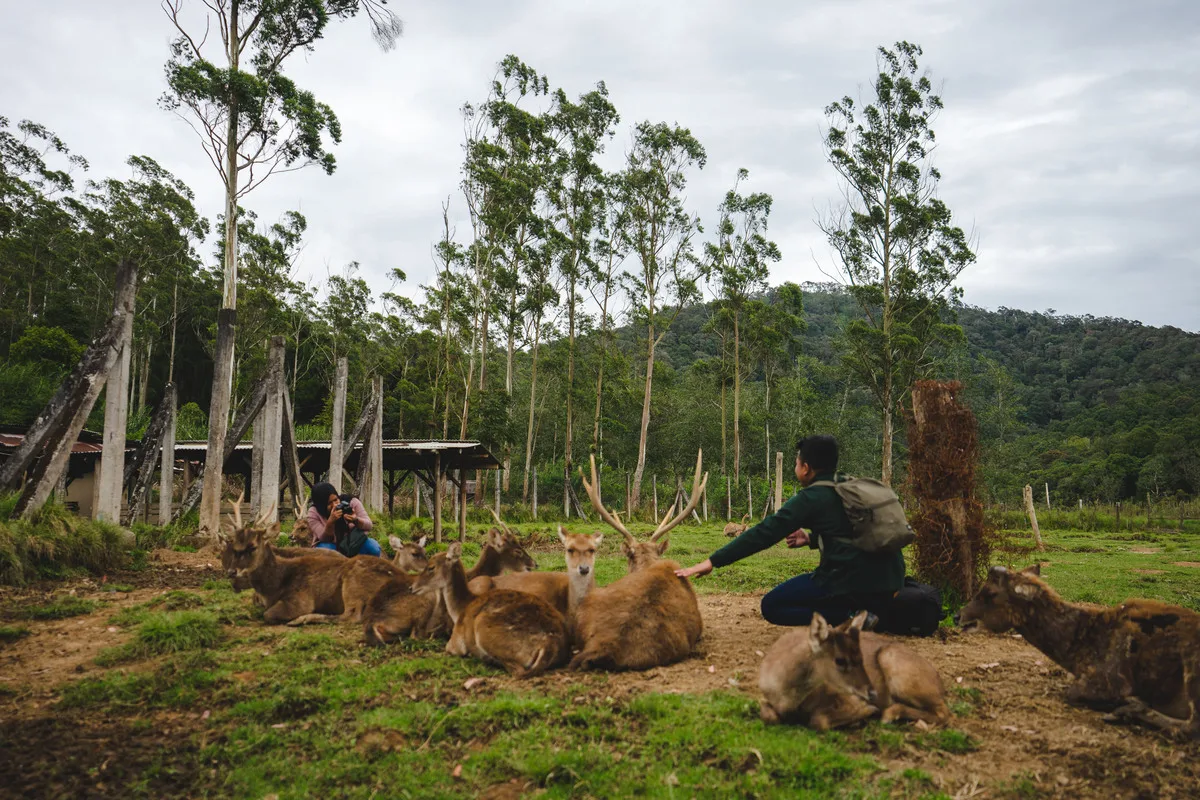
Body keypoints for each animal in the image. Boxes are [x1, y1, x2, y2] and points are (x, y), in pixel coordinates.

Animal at [410, 542, 568, 681]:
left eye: (431, 567)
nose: (412, 587)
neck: (460, 608)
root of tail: (549, 644)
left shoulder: (455, 641)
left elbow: (451, 649)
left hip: (483, 626)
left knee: (517, 671)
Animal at [955, 566, 1200, 743]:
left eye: (990, 593)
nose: (958, 616)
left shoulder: (1112, 679)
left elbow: (1072, 692)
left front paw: (1129, 702)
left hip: (1192, 667)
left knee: (1191, 726)